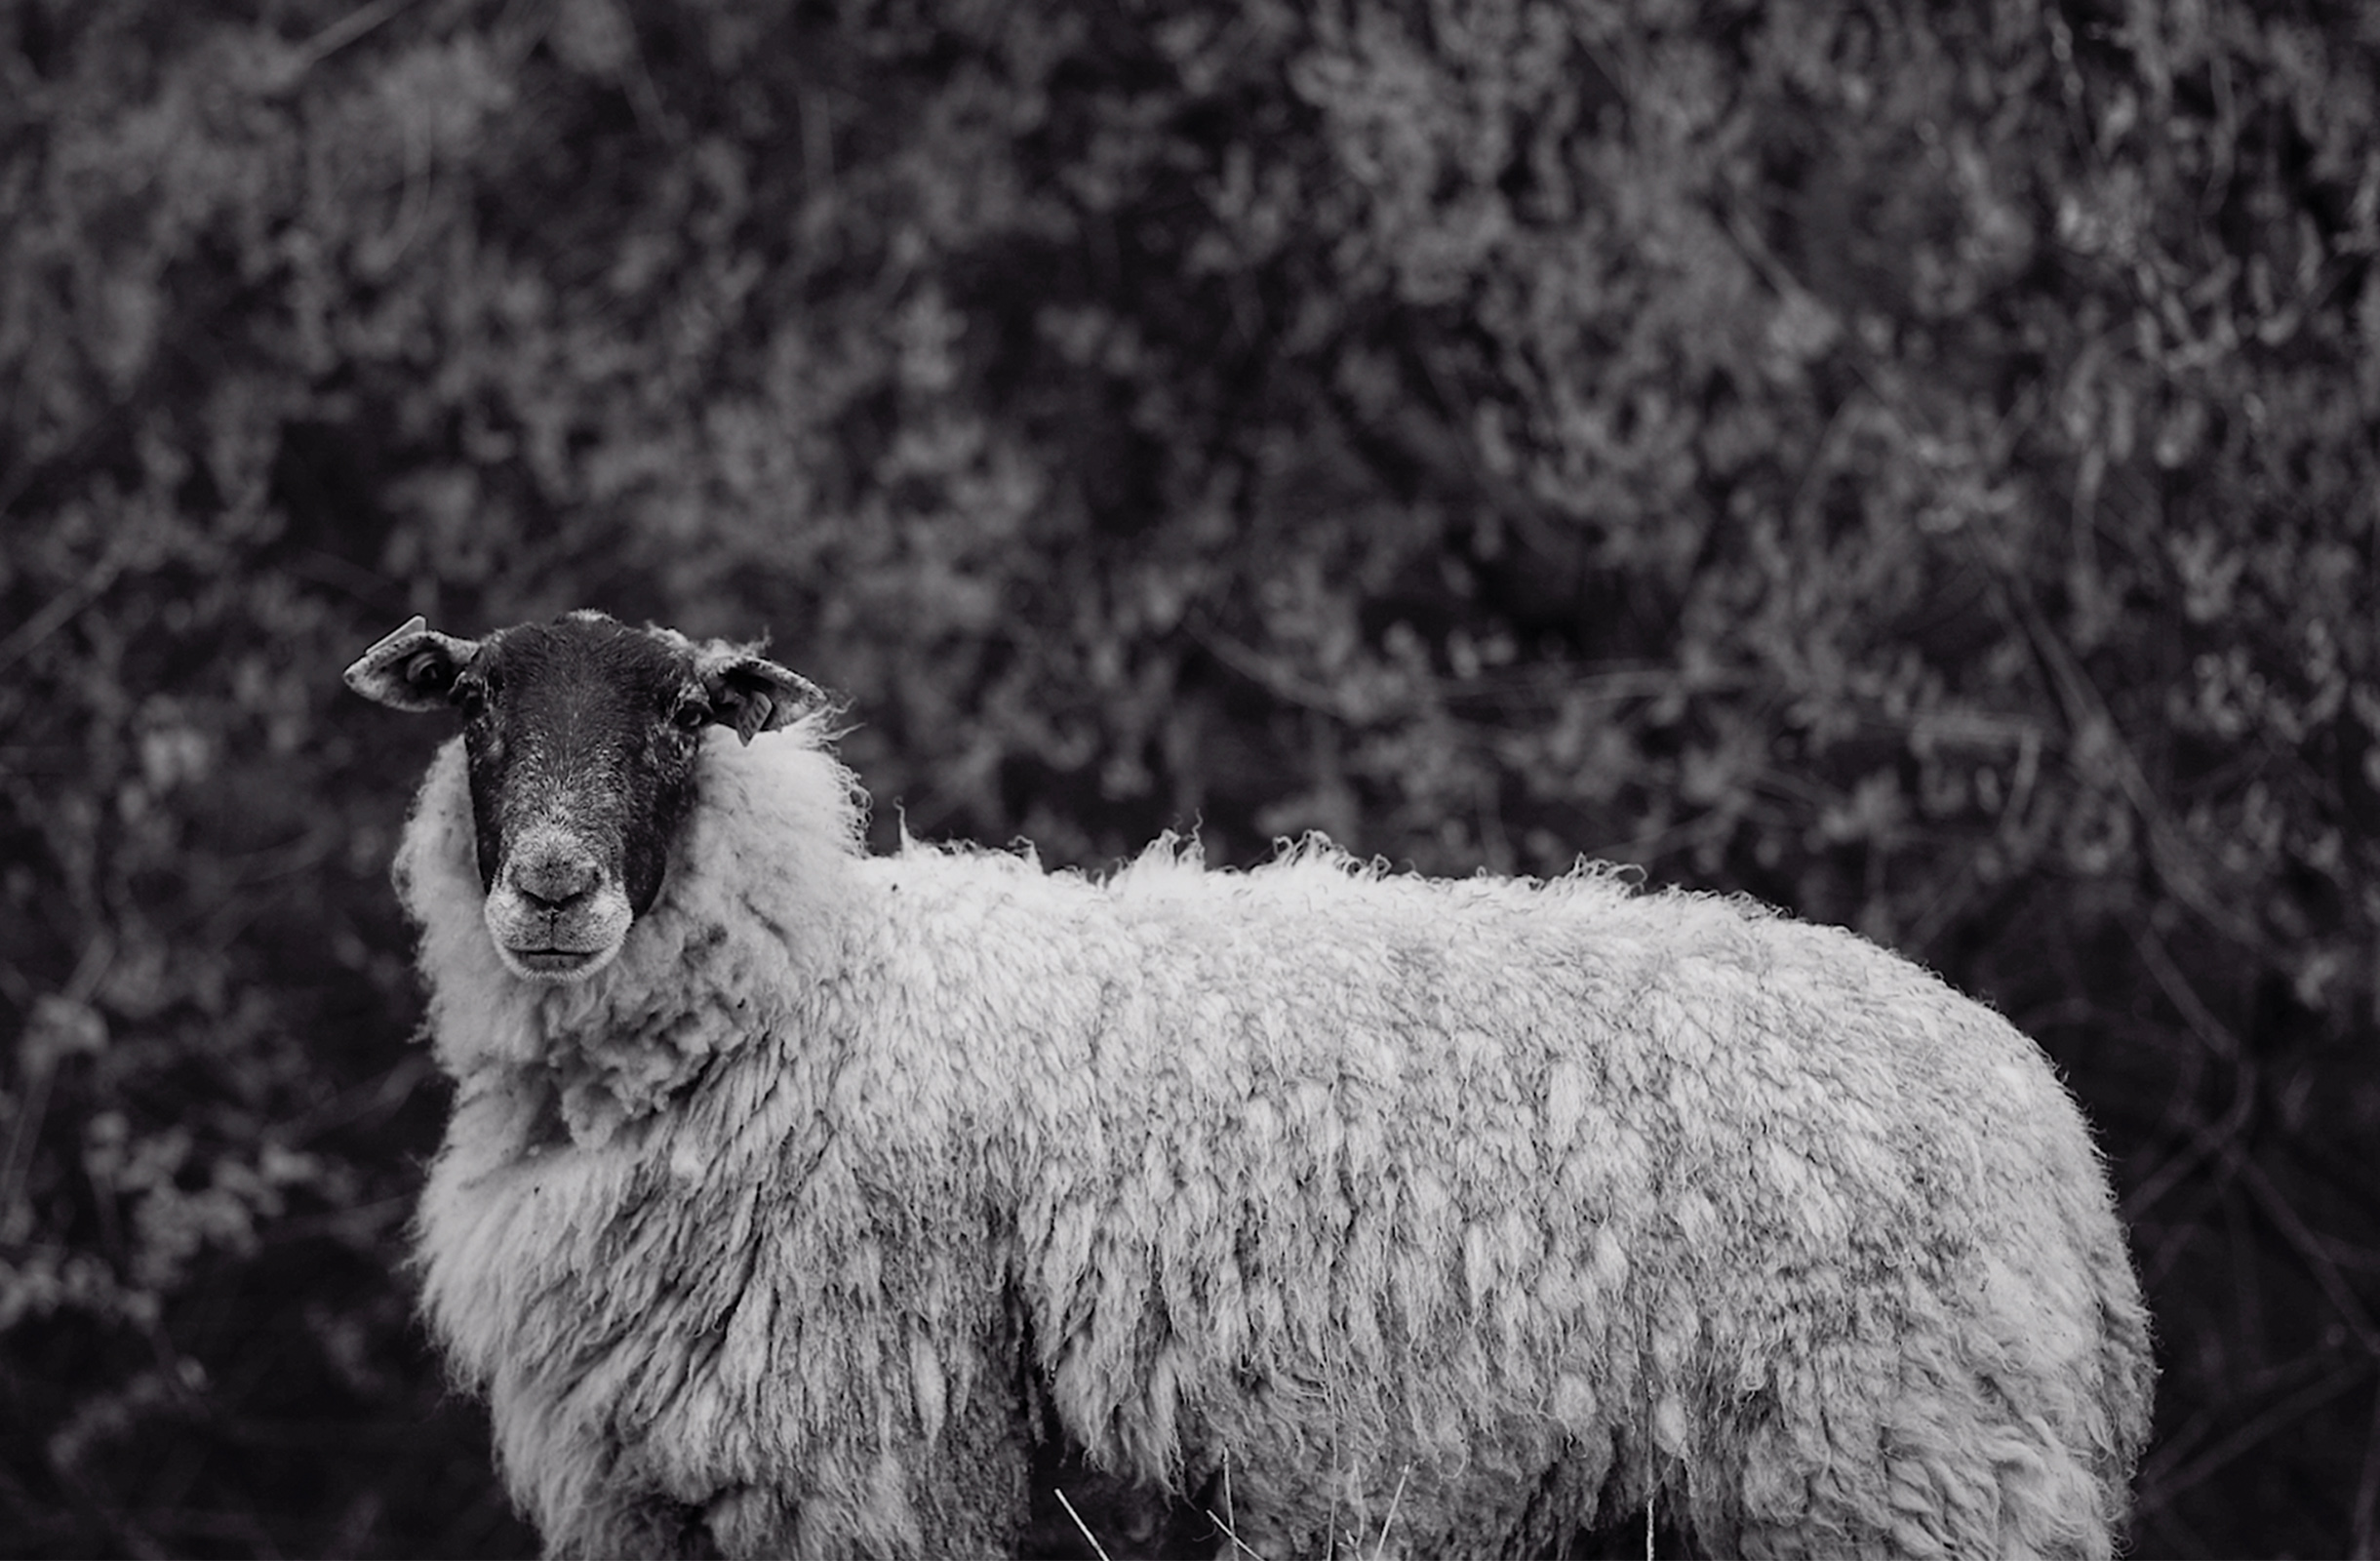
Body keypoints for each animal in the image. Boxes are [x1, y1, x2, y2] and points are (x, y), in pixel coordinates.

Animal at [345, 609, 2155, 1561]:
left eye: (677, 719)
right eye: (478, 702)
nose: (556, 888)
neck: (814, 1000)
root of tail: (2053, 1140)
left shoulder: (878, 1466)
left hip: (1901, 1476)